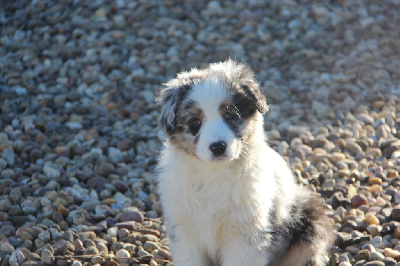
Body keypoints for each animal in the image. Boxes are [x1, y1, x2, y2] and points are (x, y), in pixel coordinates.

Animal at [157, 60, 334, 266]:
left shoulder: (245, 236)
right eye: (195, 122)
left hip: (309, 222)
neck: (214, 173)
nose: (218, 147)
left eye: (231, 115)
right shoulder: (185, 232)